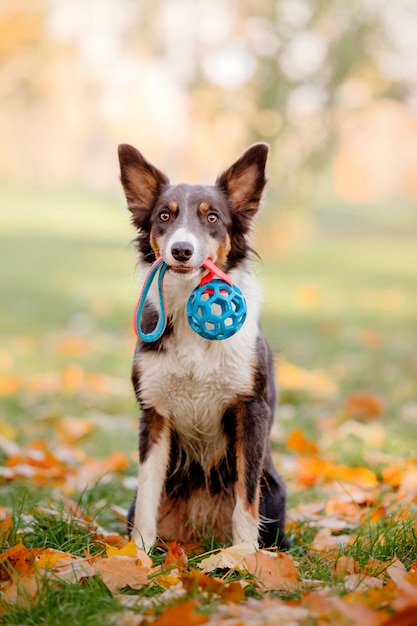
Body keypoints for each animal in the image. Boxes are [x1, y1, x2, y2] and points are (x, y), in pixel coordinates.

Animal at [117, 143, 286, 552]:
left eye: (212, 217)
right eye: (164, 215)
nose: (181, 250)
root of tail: (200, 532)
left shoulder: (250, 409)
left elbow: (245, 497)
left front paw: (244, 556)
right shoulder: (154, 413)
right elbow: (147, 497)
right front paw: (137, 557)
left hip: (275, 492)